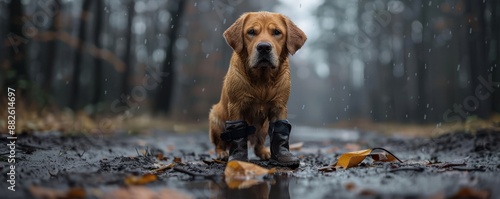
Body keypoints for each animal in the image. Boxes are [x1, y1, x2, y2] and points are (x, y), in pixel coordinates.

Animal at [209, 11, 306, 166]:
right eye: (251, 32)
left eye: (277, 32)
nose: (264, 47)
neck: (262, 81)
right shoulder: (236, 106)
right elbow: (237, 133)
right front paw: (238, 157)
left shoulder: (280, 106)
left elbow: (280, 131)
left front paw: (283, 156)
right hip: (215, 117)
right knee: (220, 143)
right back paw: (222, 153)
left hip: (264, 127)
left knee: (258, 144)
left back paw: (265, 152)